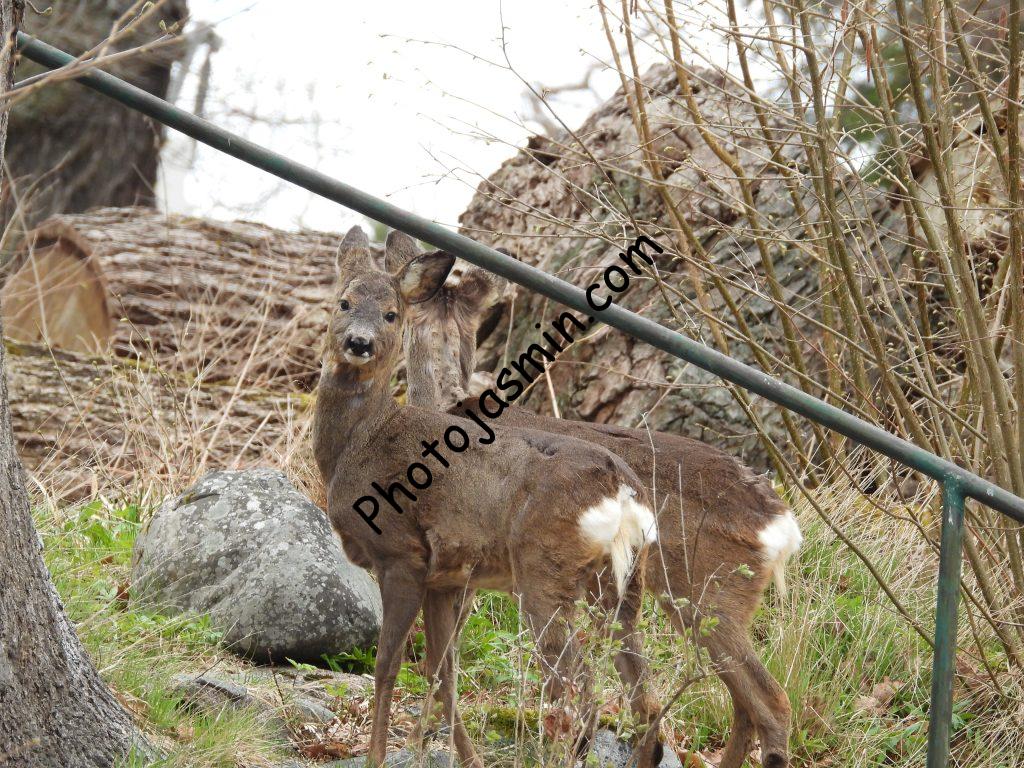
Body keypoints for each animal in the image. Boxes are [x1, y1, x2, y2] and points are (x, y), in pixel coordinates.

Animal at [313, 226, 667, 768]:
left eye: (392, 313)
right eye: (343, 302)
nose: (359, 342)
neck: (360, 442)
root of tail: (625, 492)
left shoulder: (402, 554)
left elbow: (388, 666)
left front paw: (377, 757)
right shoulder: (446, 577)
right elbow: (443, 673)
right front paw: (465, 757)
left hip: (543, 570)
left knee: (580, 693)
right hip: (622, 584)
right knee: (644, 700)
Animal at [391, 246, 803, 768]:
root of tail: (782, 525)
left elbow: (442, 655)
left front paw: (420, 738)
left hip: (710, 594)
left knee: (768, 702)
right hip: (695, 602)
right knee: (738, 705)